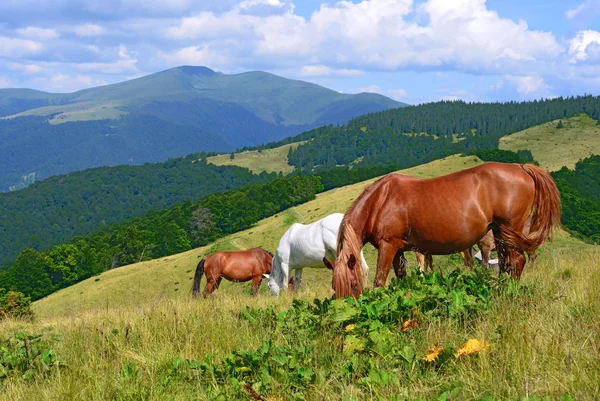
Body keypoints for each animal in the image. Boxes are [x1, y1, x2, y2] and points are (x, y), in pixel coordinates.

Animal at [326, 162, 560, 296]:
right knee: (506, 264)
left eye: (354, 285)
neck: (380, 200)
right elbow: (401, 278)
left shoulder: (388, 246)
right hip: (499, 233)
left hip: (508, 230)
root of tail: (521, 167)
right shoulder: (399, 250)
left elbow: (379, 281)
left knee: (517, 261)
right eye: (335, 288)